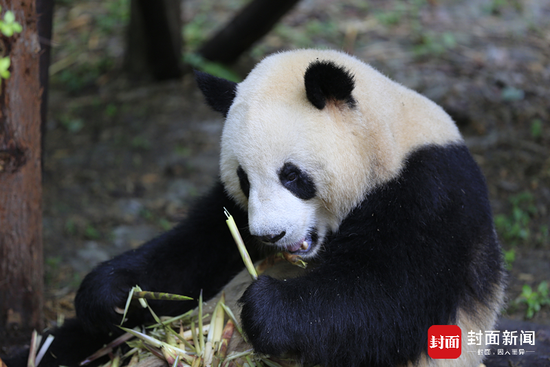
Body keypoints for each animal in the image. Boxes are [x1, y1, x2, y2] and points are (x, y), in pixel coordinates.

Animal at [9, 50, 508, 367]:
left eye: (292, 175)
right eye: (244, 179)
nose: (269, 236)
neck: (385, 140)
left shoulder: (431, 190)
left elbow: (389, 297)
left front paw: (268, 309)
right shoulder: (229, 213)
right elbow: (191, 255)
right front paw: (110, 293)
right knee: (68, 341)